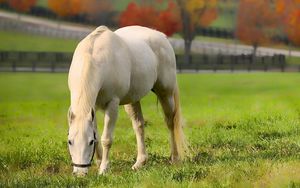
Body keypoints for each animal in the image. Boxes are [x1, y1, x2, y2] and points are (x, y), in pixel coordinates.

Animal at [67, 25, 186, 176]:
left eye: (89, 142)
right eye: (70, 141)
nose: (80, 173)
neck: (94, 57)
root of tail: (162, 37)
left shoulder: (112, 105)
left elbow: (106, 139)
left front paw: (104, 168)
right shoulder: (92, 107)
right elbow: (98, 134)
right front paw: (99, 162)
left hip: (166, 94)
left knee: (171, 123)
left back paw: (175, 158)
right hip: (133, 100)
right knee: (139, 126)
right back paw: (140, 163)